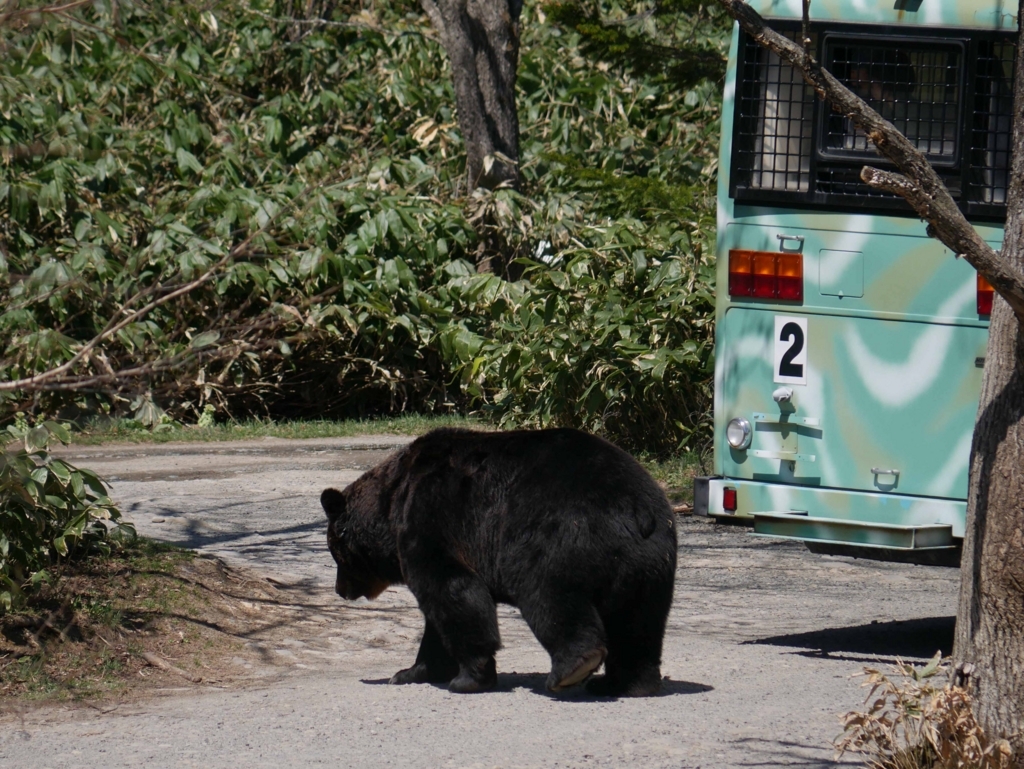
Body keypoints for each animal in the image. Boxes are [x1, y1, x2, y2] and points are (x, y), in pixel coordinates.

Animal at [317, 428, 671, 696]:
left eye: (336, 552)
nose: (340, 590)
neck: (391, 503)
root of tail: (634, 510)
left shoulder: (431, 516)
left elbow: (452, 589)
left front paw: (468, 677)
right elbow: (437, 620)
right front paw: (409, 671)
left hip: (557, 539)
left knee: (552, 598)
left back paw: (572, 669)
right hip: (648, 561)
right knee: (639, 622)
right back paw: (626, 683)